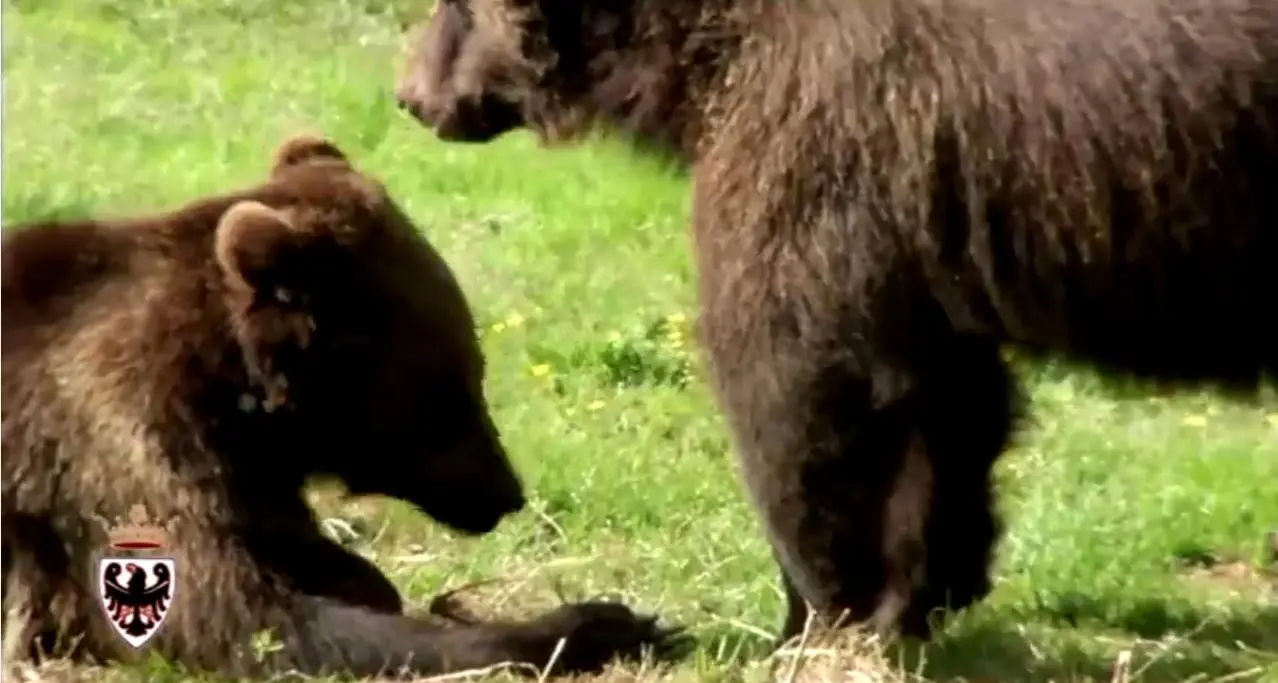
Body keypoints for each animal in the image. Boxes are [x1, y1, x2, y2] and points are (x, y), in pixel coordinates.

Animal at [0, 133, 683, 678]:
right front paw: (602, 622)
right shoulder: (115, 445)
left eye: (470, 371)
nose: (506, 491)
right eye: (454, 382)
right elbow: (247, 620)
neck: (236, 400)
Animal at [393, 0, 1278, 642]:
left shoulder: (827, 136)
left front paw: (821, 611)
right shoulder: (913, 228)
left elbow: (799, 384)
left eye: (456, 6)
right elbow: (947, 403)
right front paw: (928, 587)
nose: (408, 94)